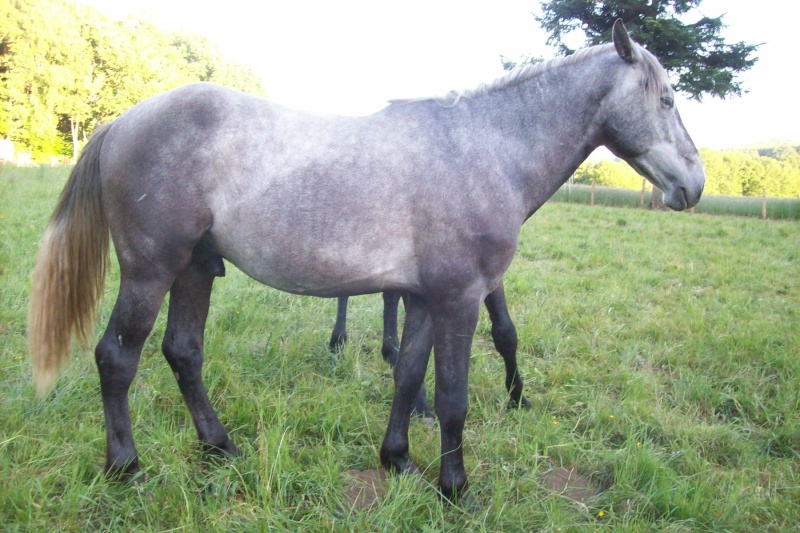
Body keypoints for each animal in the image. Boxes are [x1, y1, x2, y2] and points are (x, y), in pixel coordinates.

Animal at [28, 20, 704, 500]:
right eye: (668, 100)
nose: (694, 186)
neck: (483, 147)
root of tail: (122, 122)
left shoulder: (427, 298)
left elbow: (407, 375)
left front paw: (398, 459)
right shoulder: (460, 298)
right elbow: (453, 396)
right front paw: (455, 488)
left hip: (196, 269)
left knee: (183, 353)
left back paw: (220, 447)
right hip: (151, 271)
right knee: (118, 358)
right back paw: (126, 466)